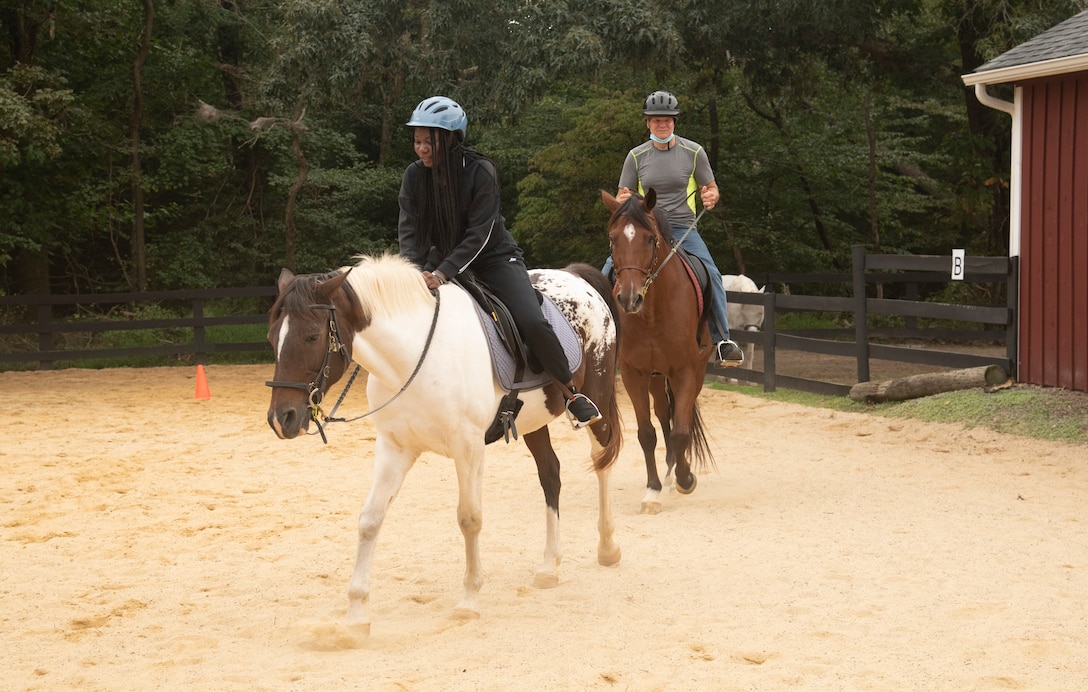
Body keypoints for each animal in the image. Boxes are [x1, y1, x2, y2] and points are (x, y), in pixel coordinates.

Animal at [264, 254, 622, 639]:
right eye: (271, 337)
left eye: (312, 336)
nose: (281, 418)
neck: (412, 357)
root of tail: (572, 275)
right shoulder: (394, 448)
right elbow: (370, 519)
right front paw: (357, 615)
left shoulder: (468, 447)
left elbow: (469, 518)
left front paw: (468, 601)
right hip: (534, 422)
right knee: (550, 475)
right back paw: (549, 566)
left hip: (596, 399)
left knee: (601, 462)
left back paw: (607, 547)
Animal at [600, 189, 718, 513]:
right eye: (613, 238)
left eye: (649, 238)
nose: (629, 298)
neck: (652, 313)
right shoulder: (633, 374)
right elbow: (647, 434)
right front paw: (653, 489)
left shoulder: (686, 370)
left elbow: (680, 432)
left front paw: (685, 478)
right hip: (655, 376)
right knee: (664, 413)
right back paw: (667, 471)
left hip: (692, 372)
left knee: (680, 417)